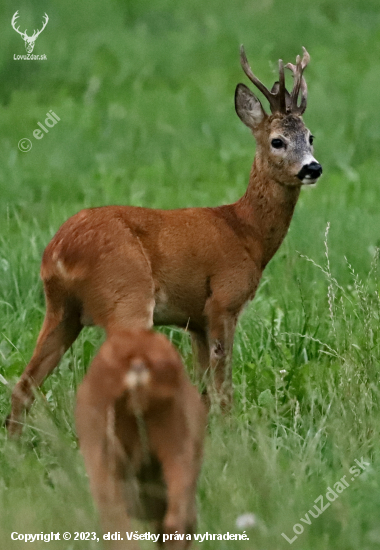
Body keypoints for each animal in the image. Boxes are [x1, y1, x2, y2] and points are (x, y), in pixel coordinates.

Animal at [6, 45, 320, 438]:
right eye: (278, 140)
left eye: (311, 137)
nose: (312, 167)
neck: (246, 232)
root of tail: (58, 252)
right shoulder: (224, 300)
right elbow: (223, 384)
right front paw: (232, 432)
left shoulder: (196, 320)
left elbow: (204, 388)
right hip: (127, 297)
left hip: (62, 310)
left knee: (23, 385)